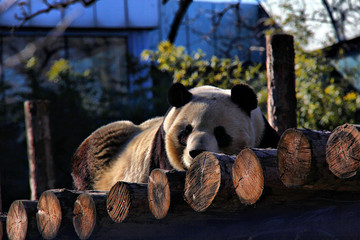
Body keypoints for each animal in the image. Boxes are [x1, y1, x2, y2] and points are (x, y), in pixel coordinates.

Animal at [71, 83, 280, 191]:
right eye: (186, 131)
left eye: (220, 133)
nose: (196, 152)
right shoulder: (162, 148)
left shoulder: (263, 135)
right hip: (102, 155)